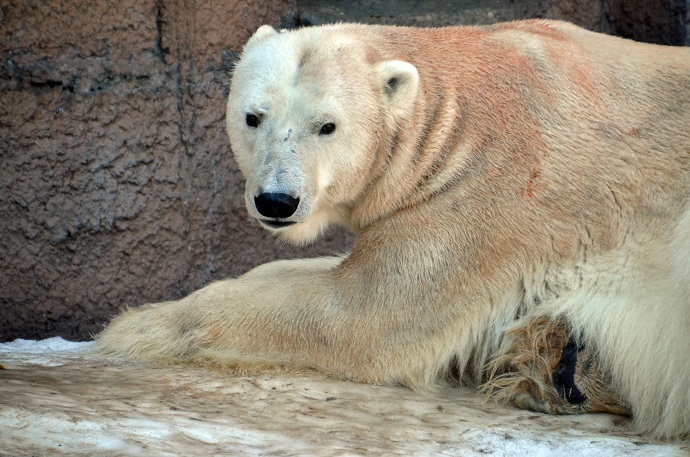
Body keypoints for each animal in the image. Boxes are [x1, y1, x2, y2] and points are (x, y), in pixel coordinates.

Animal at [98, 20, 688, 438]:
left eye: (327, 125)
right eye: (252, 116)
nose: (276, 200)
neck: (452, 118)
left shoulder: (496, 186)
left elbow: (364, 310)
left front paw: (138, 325)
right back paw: (562, 364)